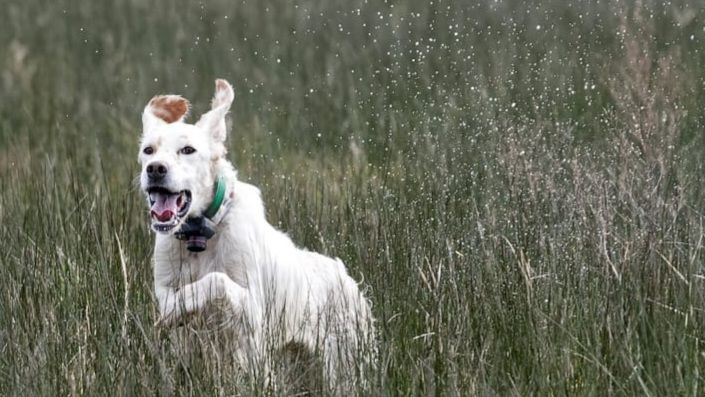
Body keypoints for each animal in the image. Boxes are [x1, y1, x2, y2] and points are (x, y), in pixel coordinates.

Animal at [140, 78, 376, 390]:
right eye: (148, 150)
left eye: (188, 150)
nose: (155, 169)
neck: (200, 237)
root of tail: (348, 279)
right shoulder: (165, 283)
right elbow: (174, 297)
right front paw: (172, 313)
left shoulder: (253, 312)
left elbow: (215, 281)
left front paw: (171, 314)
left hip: (346, 367)